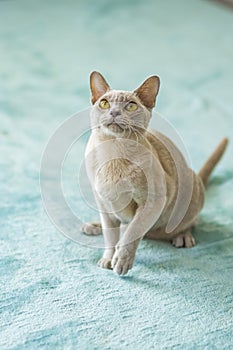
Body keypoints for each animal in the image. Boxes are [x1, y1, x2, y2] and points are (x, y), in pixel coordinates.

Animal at [81, 70, 228, 274]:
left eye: (131, 106)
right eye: (104, 103)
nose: (114, 112)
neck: (113, 154)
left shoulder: (154, 200)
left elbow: (134, 231)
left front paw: (121, 261)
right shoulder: (103, 201)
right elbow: (110, 235)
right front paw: (108, 259)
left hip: (190, 189)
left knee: (190, 222)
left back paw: (182, 237)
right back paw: (93, 226)